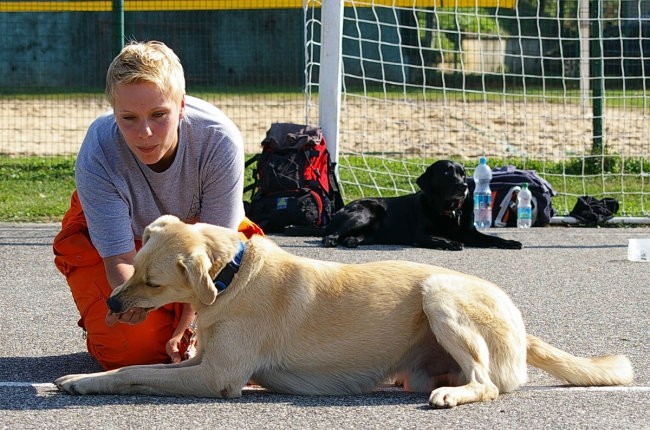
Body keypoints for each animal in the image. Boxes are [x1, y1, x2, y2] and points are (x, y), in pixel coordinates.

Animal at [53, 215, 632, 406]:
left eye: (152, 282)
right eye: (134, 267)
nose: (110, 303)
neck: (232, 276)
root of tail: (518, 319)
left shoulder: (216, 377)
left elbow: (130, 372)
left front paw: (83, 383)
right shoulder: (200, 361)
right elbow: (137, 367)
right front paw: (81, 379)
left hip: (440, 291)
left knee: (487, 383)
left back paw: (455, 395)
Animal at [322, 160, 524, 250]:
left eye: (463, 173)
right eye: (446, 173)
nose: (464, 186)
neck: (448, 211)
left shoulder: (469, 233)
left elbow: (493, 239)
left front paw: (510, 242)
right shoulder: (420, 235)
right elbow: (437, 238)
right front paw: (451, 242)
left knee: (351, 238)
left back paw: (351, 241)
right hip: (366, 213)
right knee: (331, 234)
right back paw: (331, 239)